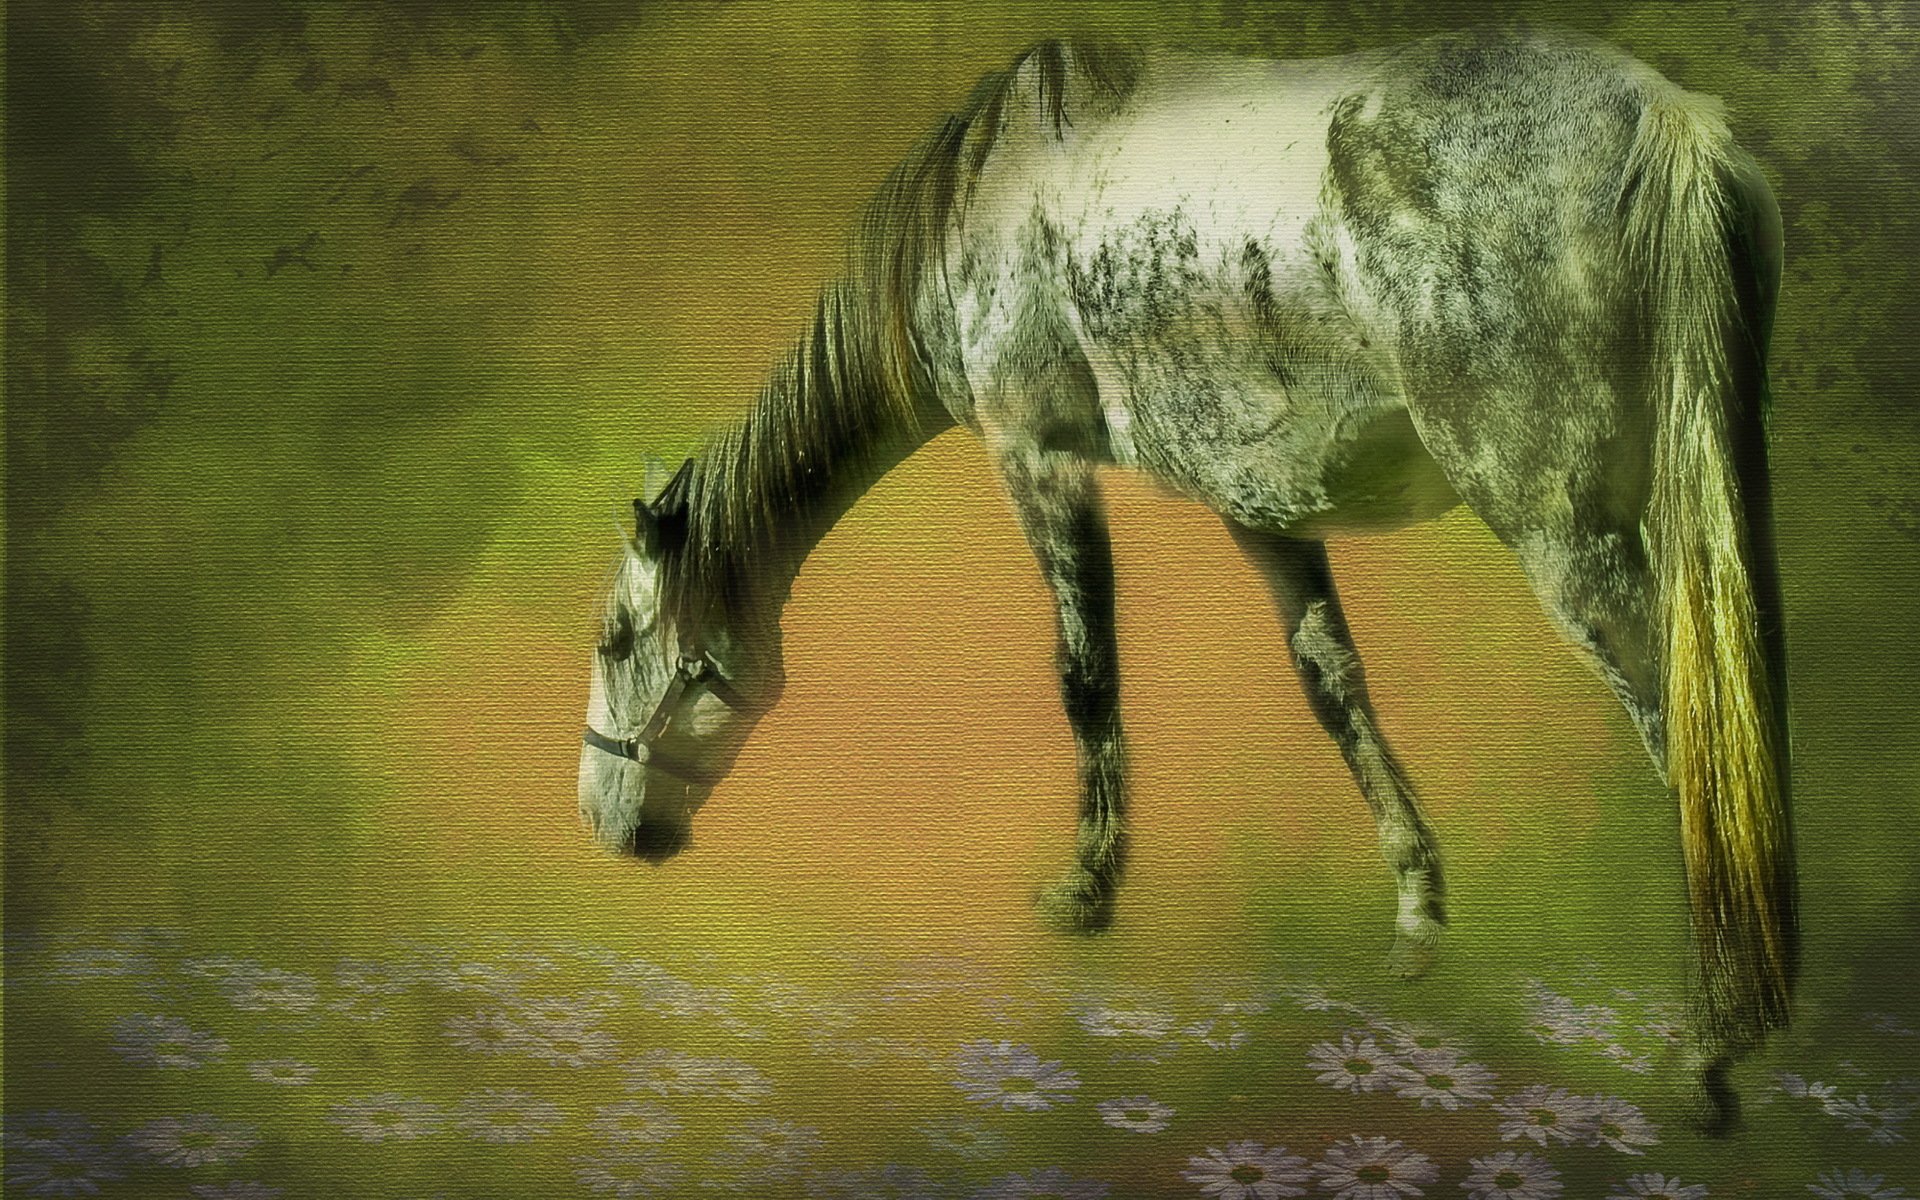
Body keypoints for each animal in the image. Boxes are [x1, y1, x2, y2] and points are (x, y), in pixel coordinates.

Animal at [576, 24, 1794, 1131]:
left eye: (615, 642)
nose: (607, 827)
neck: (994, 186)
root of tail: (1664, 118)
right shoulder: (1261, 505)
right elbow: (1332, 685)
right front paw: (1415, 912)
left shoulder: (1038, 456)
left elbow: (1087, 678)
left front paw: (1086, 890)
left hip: (1562, 534)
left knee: (1688, 732)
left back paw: (1709, 1055)